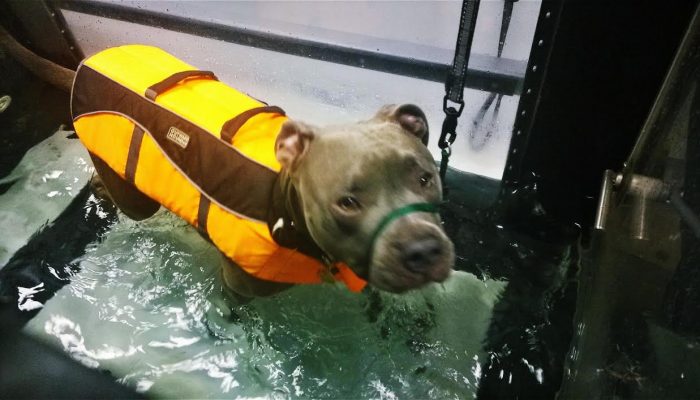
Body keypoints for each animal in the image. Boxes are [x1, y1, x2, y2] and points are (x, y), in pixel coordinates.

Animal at [0, 27, 454, 296]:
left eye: (426, 178)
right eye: (347, 202)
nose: (423, 250)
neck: (285, 206)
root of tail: (86, 63)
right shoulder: (238, 292)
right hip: (131, 194)